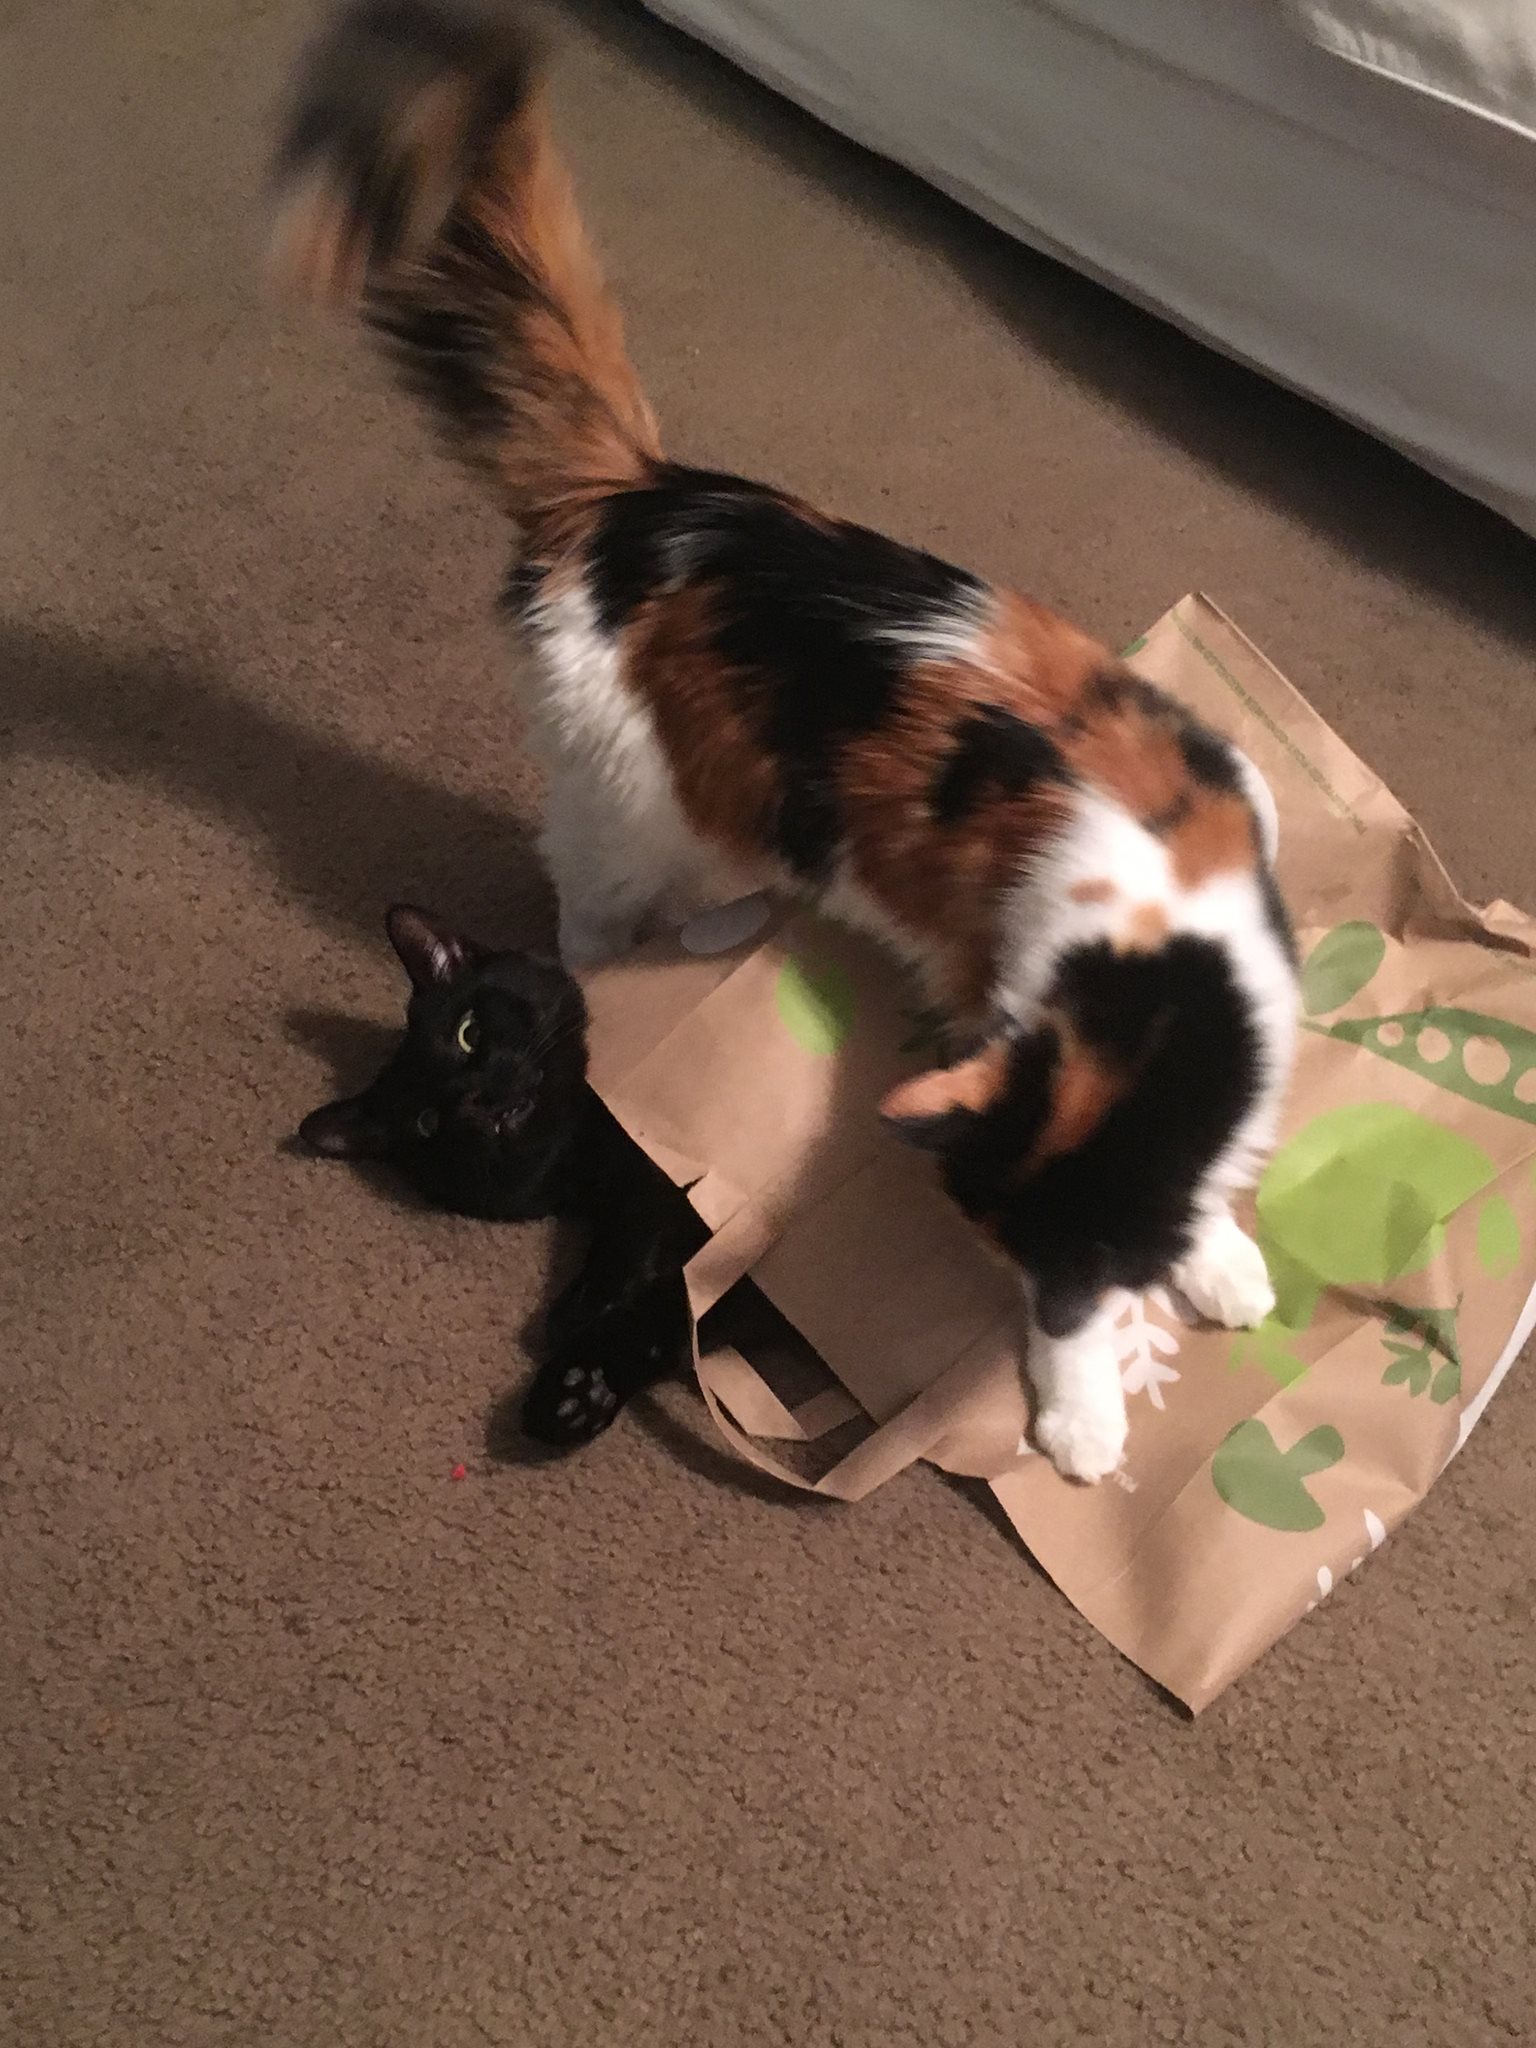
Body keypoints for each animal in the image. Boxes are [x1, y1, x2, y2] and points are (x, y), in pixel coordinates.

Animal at [299, 904, 705, 1445]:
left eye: (468, 1033)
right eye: (428, 1122)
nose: (477, 1099)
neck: (582, 1150)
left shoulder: (665, 1177)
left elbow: (644, 1225)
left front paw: (585, 1314)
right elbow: (673, 1314)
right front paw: (579, 1393)